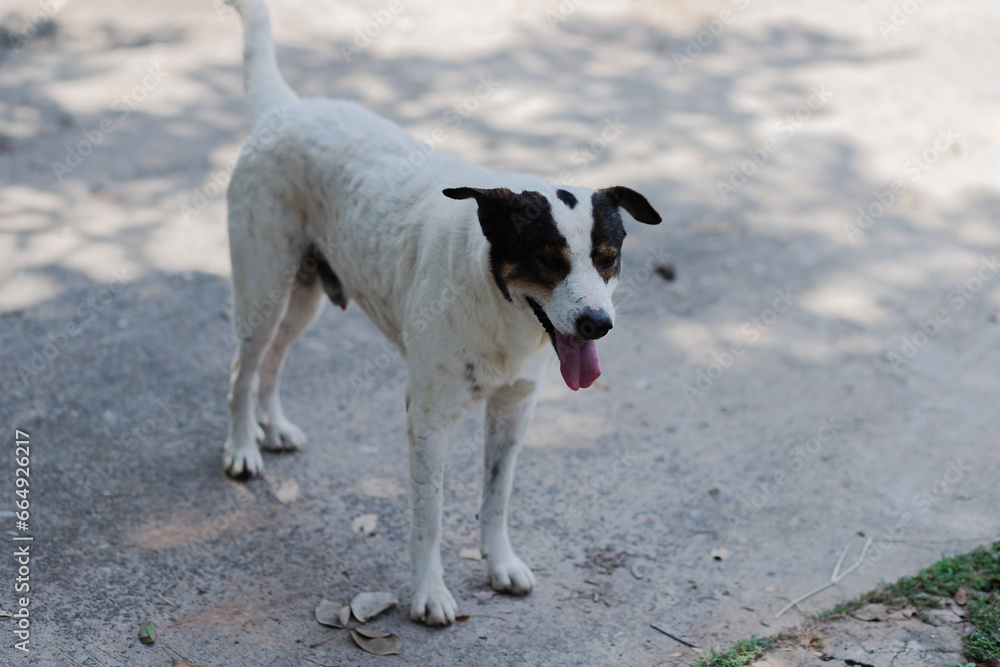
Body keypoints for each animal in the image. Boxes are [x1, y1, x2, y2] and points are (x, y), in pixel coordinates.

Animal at [225, 0, 664, 628]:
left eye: (608, 258)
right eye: (548, 261)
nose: (597, 326)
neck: (501, 310)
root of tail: (288, 107)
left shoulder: (514, 410)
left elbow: (496, 497)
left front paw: (499, 564)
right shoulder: (428, 420)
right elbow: (428, 518)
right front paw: (429, 594)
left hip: (305, 295)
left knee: (274, 359)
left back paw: (274, 426)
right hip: (263, 286)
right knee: (242, 367)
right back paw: (242, 447)